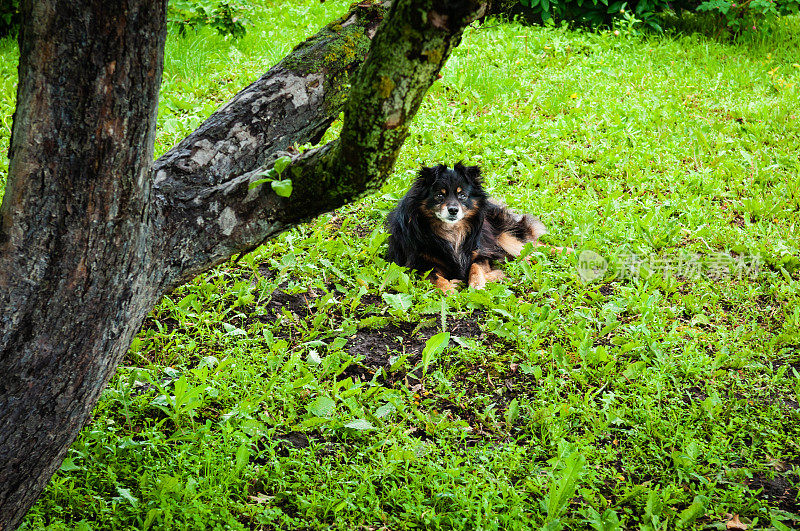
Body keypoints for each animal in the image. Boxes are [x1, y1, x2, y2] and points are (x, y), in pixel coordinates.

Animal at [388, 164, 568, 294]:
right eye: (439, 195)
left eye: (462, 196)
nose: (453, 210)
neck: (452, 232)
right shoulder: (418, 264)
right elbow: (434, 277)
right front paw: (449, 289)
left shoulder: (482, 252)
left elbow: (476, 267)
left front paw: (477, 284)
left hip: (503, 236)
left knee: (535, 245)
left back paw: (566, 252)